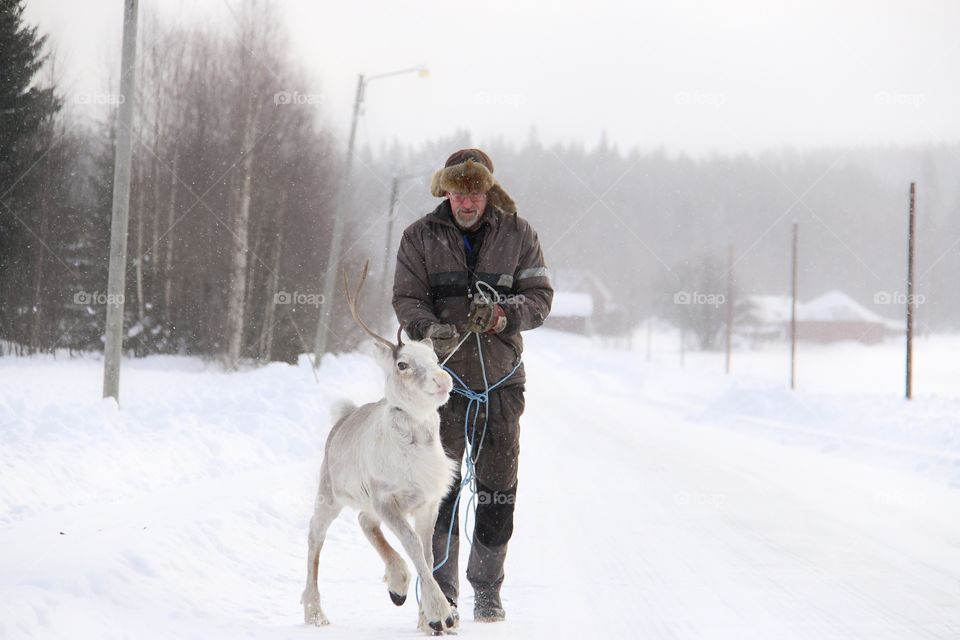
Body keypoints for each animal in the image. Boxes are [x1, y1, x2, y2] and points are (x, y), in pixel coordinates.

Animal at [301, 261, 458, 635]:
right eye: (403, 364)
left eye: (434, 356)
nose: (443, 380)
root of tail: (343, 417)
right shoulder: (388, 500)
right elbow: (414, 547)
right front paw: (441, 613)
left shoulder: (428, 503)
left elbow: (428, 555)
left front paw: (427, 621)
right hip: (330, 493)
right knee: (315, 535)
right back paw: (315, 612)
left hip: (363, 502)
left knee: (363, 521)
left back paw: (397, 586)